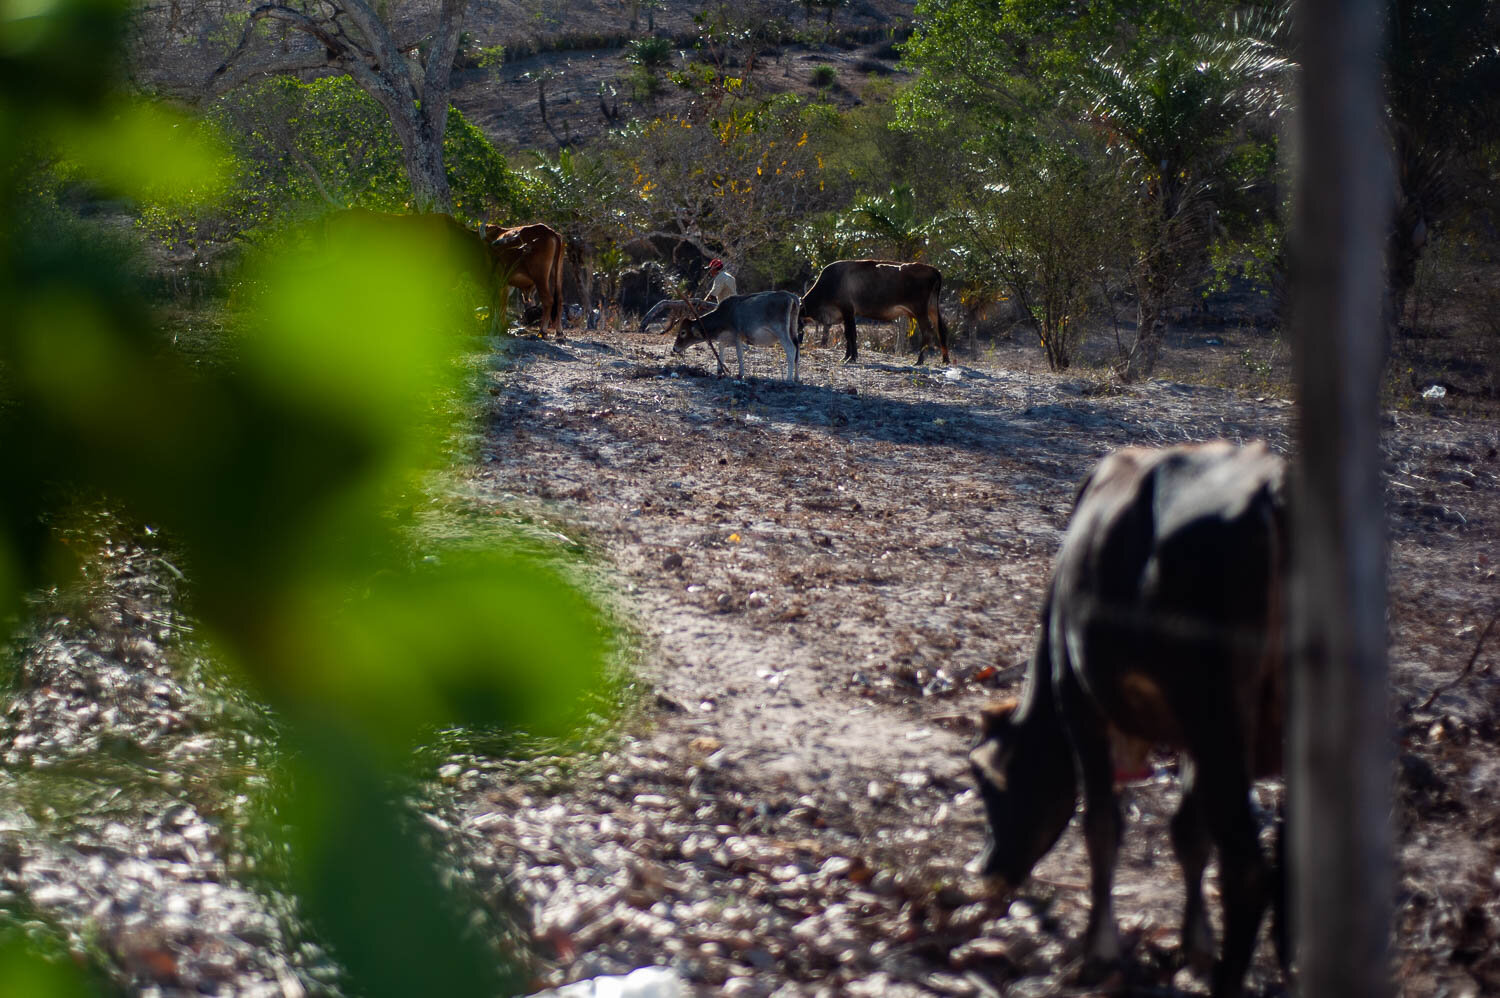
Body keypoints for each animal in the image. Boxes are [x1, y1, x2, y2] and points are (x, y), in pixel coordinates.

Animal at [672, 289, 804, 382]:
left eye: (683, 332)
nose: (674, 348)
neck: (723, 315)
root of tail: (791, 296)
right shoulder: (724, 338)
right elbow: (720, 350)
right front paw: (720, 370)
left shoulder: (737, 335)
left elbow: (739, 355)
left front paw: (741, 374)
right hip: (793, 330)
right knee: (797, 349)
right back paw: (797, 378)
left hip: (781, 332)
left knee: (791, 349)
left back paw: (788, 378)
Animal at [798, 258, 948, 364]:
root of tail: (933, 269)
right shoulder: (848, 314)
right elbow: (848, 335)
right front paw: (847, 356)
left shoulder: (848, 311)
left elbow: (851, 335)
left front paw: (852, 357)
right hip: (932, 308)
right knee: (941, 330)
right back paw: (945, 360)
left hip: (920, 311)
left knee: (928, 332)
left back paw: (919, 360)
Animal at [972, 441, 1290, 996]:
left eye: (984, 777)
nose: (989, 869)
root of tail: (1269, 495)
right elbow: (1187, 832)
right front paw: (1194, 947)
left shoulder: (1080, 703)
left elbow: (1101, 825)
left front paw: (1099, 953)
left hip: (1218, 717)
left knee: (1248, 872)